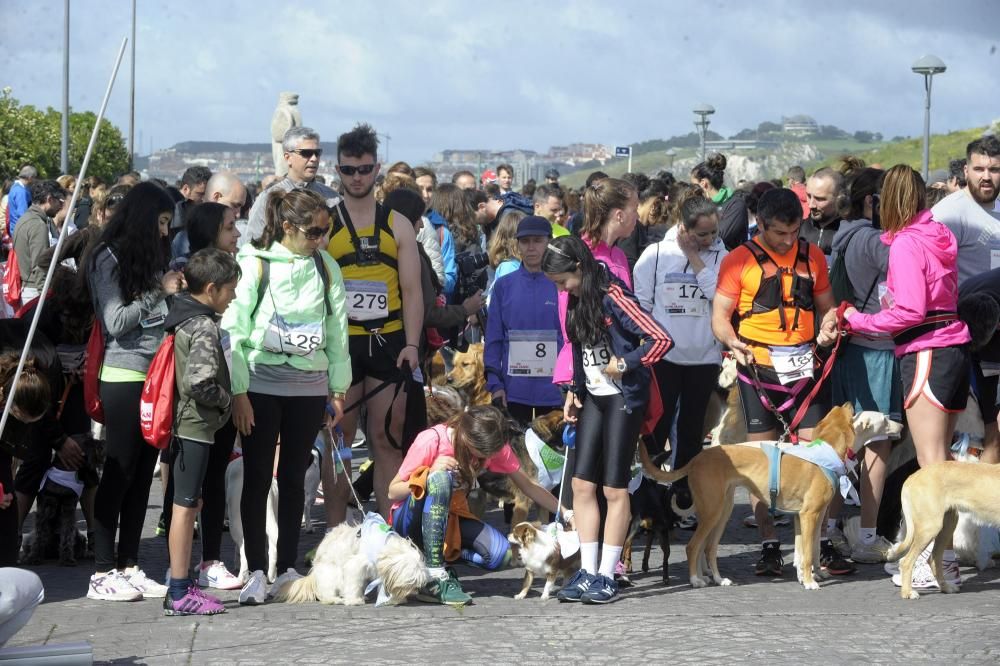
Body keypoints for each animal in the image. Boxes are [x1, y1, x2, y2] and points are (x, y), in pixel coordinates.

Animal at [22, 430, 103, 564]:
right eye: (87, 441)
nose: (102, 443)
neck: (65, 473)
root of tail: (52, 554)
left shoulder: (68, 509)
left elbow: (67, 534)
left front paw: (67, 559)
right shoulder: (44, 508)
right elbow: (39, 535)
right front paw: (34, 557)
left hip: (80, 538)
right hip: (28, 538)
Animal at [274, 516, 430, 604]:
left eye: (418, 584)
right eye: (411, 582)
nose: (415, 591)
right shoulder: (355, 565)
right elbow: (353, 582)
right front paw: (355, 600)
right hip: (331, 573)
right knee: (326, 592)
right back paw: (334, 599)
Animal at [640, 402, 884, 588]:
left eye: (835, 410)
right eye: (845, 413)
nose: (849, 402)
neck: (824, 453)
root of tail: (697, 459)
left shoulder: (803, 517)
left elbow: (806, 551)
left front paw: (807, 576)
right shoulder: (810, 515)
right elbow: (807, 554)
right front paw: (809, 582)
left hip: (722, 512)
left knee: (708, 548)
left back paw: (718, 579)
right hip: (712, 512)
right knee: (693, 547)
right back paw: (695, 580)